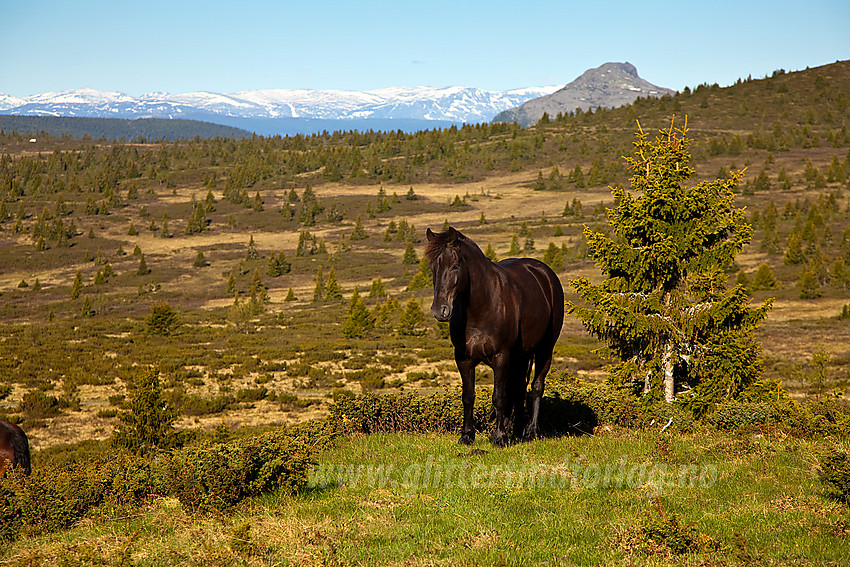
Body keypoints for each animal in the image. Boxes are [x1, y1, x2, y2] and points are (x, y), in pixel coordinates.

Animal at [424, 227, 564, 448]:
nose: (440, 310)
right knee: (519, 388)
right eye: (432, 268)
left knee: (536, 387)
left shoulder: (501, 357)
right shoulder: (463, 359)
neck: (481, 308)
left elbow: (499, 397)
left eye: (455, 265)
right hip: (521, 356)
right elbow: (468, 396)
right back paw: (517, 430)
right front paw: (467, 436)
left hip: (544, 350)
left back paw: (531, 431)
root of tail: (544, 273)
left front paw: (499, 437)